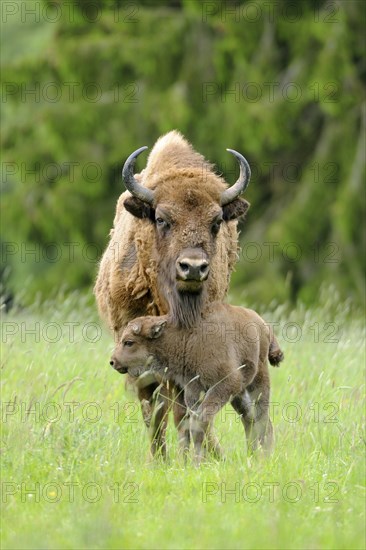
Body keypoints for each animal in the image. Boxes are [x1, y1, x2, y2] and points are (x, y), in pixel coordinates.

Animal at [93, 132, 252, 460]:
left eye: (216, 222)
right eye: (162, 219)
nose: (193, 267)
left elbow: (182, 407)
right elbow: (154, 408)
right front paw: (160, 459)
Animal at [110, 304, 284, 464]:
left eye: (129, 342)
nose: (113, 361)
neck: (185, 338)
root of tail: (262, 323)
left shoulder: (226, 383)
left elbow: (201, 421)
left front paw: (203, 461)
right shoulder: (194, 392)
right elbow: (195, 425)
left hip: (257, 381)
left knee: (262, 418)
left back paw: (266, 456)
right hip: (239, 395)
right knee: (250, 419)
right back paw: (252, 455)